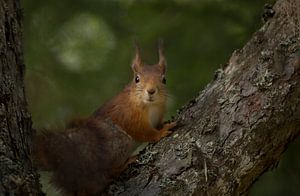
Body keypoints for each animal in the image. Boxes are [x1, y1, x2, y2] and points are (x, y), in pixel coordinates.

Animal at [33, 42, 176, 195]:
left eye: (164, 79)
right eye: (136, 79)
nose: (151, 91)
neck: (150, 106)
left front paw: (163, 125)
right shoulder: (128, 116)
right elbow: (144, 132)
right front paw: (161, 132)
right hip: (118, 143)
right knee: (109, 171)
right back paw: (123, 165)